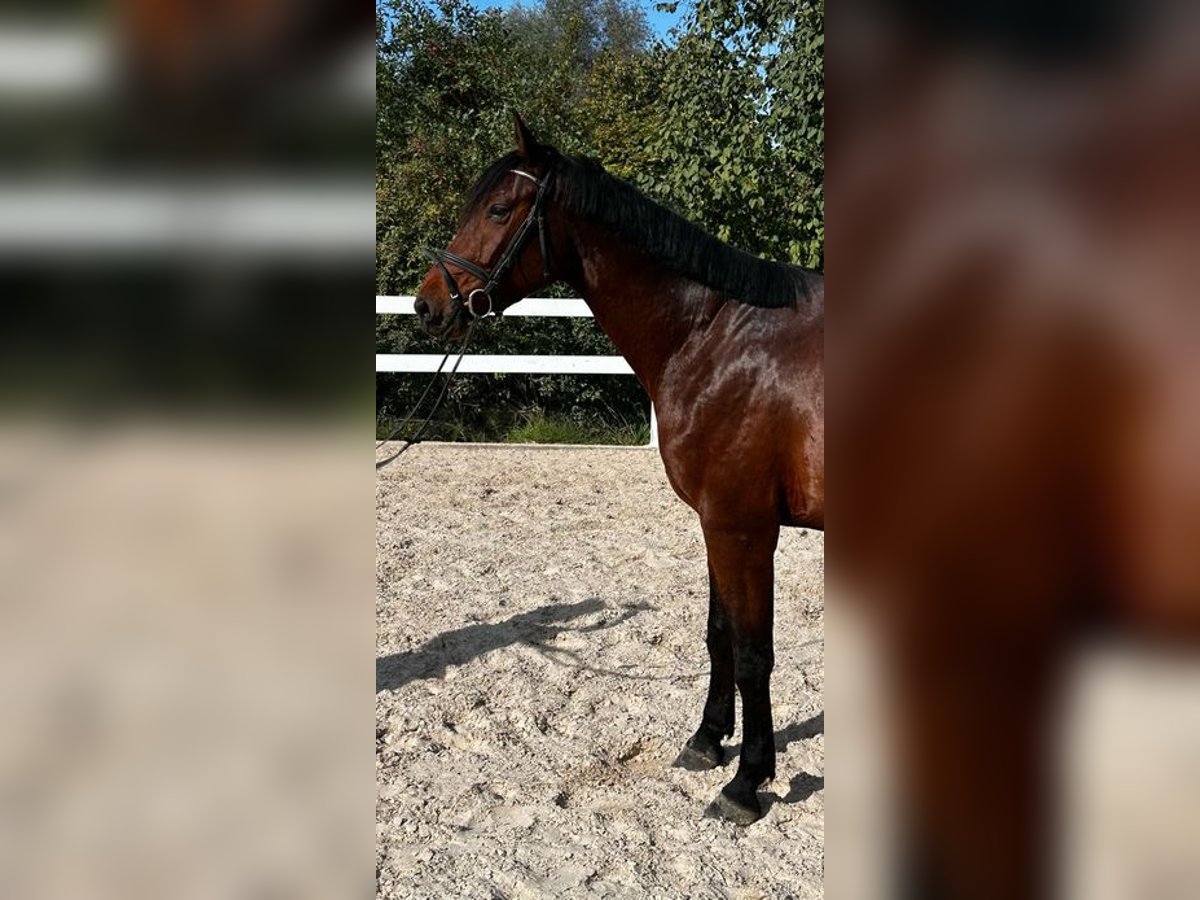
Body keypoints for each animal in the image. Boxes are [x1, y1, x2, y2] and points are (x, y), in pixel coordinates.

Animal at [415, 116, 825, 830]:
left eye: (498, 209)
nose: (428, 303)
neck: (715, 338)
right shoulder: (716, 526)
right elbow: (720, 635)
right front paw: (707, 741)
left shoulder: (743, 529)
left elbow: (753, 654)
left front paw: (747, 783)